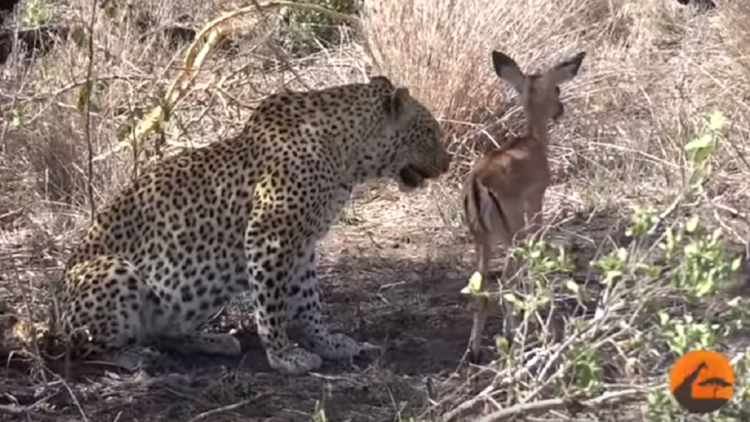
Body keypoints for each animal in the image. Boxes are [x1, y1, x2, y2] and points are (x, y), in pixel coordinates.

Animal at [52, 76, 452, 376]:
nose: (447, 164)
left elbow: (309, 299)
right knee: (86, 347)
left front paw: (327, 342)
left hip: (195, 291)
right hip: (114, 272)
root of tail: (55, 310)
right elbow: (272, 304)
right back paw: (136, 356)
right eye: (430, 132)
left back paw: (213, 341)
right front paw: (284, 356)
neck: (348, 157)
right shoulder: (270, 236)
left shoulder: (302, 244)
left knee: (164, 333)